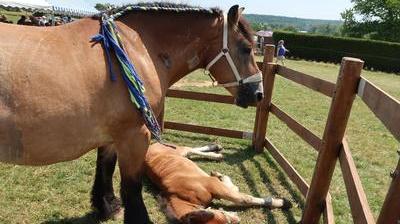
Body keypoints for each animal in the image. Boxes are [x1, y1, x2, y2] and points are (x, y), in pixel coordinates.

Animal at [0, 2, 262, 223]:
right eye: (247, 48)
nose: (258, 93)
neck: (135, 48)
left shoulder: (112, 136)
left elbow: (105, 169)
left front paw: (107, 206)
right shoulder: (135, 136)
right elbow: (132, 188)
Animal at [144, 143, 290, 223]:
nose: (237, 219)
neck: (183, 195)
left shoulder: (214, 185)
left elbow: (243, 198)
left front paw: (282, 202)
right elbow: (236, 190)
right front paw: (222, 176)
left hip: (177, 151)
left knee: (189, 149)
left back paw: (216, 151)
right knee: (190, 151)